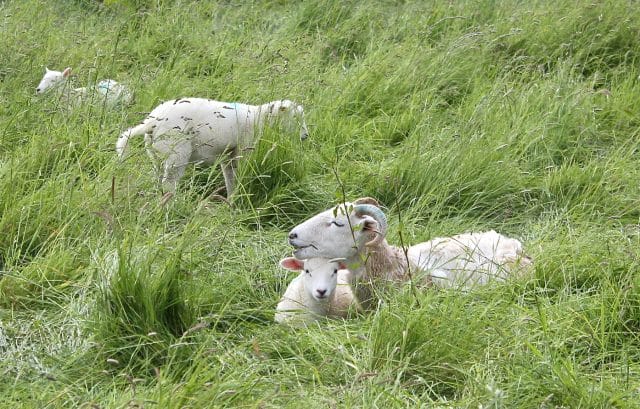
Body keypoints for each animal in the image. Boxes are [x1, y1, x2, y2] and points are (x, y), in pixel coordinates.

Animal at [116, 98, 309, 198]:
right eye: (295, 118)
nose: (305, 137)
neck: (260, 119)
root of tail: (152, 121)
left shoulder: (229, 154)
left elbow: (230, 177)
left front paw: (232, 199)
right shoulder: (245, 148)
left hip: (155, 152)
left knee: (158, 177)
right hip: (177, 151)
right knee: (169, 182)